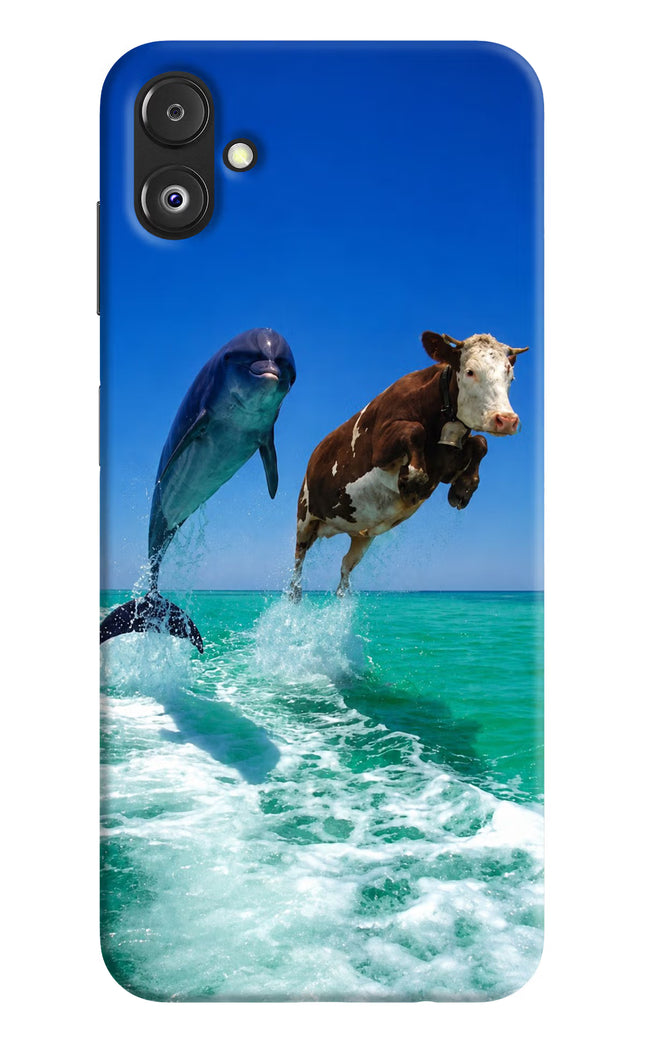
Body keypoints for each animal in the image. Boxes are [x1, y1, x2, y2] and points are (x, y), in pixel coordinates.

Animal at [289, 330, 528, 600]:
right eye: (470, 371)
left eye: (511, 375)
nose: (506, 420)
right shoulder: (381, 446)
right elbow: (415, 430)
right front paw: (413, 479)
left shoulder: (446, 465)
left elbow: (480, 442)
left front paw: (463, 489)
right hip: (304, 517)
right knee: (298, 561)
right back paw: (295, 594)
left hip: (361, 535)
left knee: (345, 566)